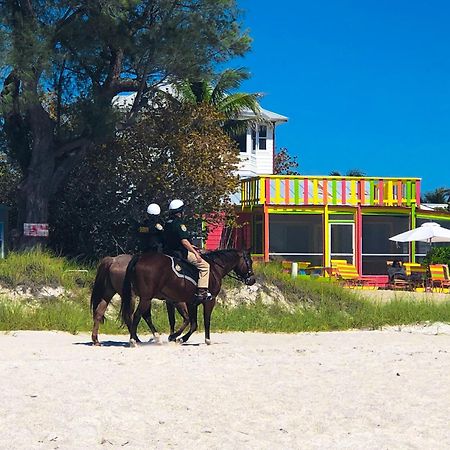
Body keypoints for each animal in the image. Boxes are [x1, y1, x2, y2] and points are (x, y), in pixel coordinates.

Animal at [119, 248, 255, 346]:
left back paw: (154, 338)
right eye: (250, 261)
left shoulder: (191, 302)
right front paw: (206, 340)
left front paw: (178, 338)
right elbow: (205, 321)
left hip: (146, 298)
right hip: (146, 298)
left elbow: (192, 323)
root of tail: (140, 257)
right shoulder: (209, 301)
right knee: (137, 315)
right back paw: (133, 340)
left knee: (145, 316)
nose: (252, 280)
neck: (214, 269)